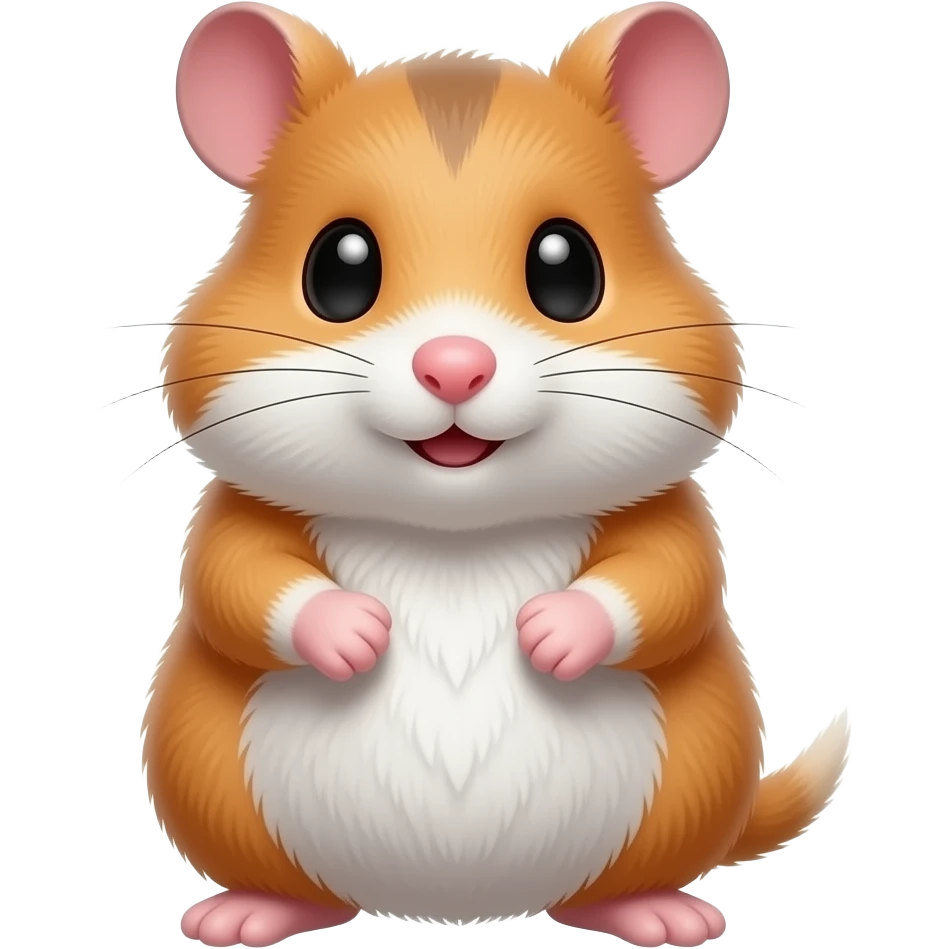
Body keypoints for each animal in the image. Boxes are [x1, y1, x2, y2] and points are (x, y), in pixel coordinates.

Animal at [143, 3, 851, 948]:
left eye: (567, 268)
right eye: (338, 268)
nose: (454, 367)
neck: (455, 534)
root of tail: (458, 902)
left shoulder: (675, 521)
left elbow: (668, 582)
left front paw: (551, 633)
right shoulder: (232, 520)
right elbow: (238, 582)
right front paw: (354, 633)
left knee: (617, 885)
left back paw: (657, 912)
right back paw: (250, 912)